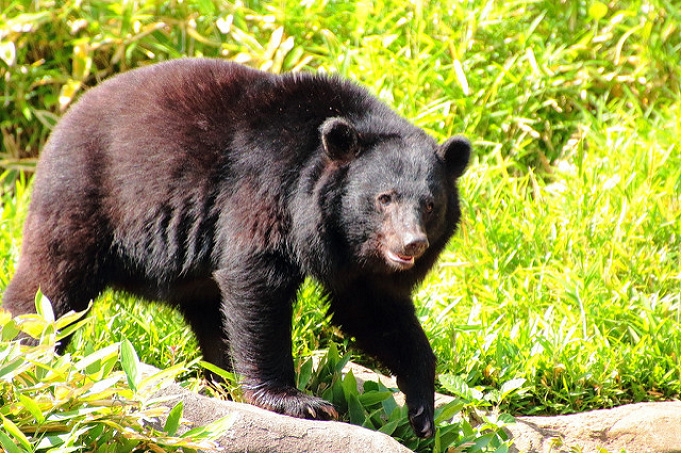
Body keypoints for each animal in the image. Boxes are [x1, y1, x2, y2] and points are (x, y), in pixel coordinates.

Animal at [5, 58, 470, 436]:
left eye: (431, 204)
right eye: (384, 198)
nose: (411, 244)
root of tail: (63, 122)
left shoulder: (359, 264)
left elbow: (372, 309)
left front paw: (422, 411)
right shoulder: (265, 188)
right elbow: (257, 280)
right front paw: (301, 402)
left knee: (210, 313)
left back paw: (220, 377)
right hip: (85, 197)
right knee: (52, 282)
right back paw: (28, 354)